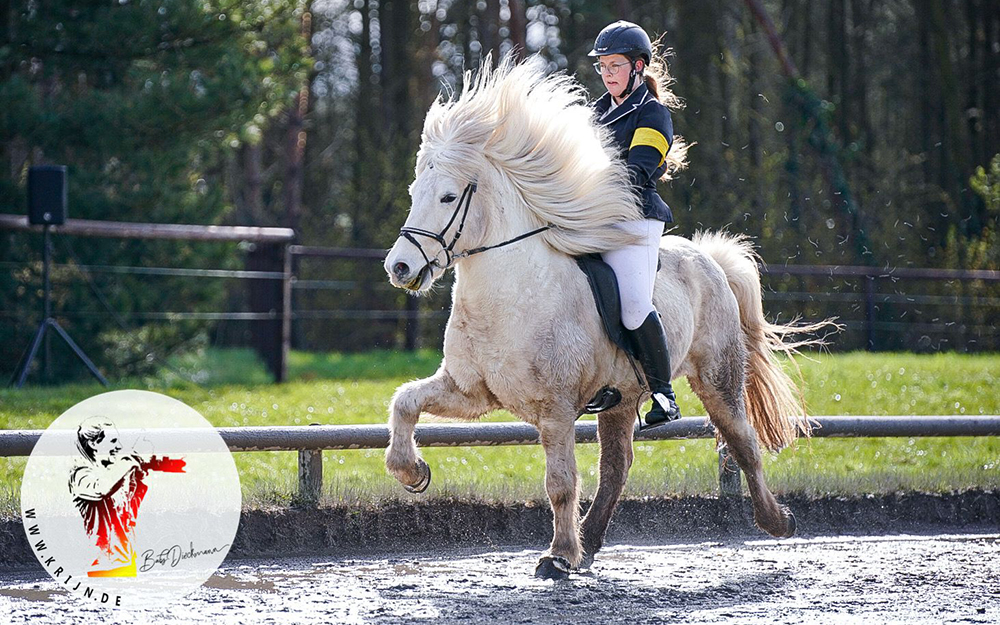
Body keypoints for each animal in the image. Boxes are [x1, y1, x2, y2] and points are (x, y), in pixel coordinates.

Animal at [380, 56, 828, 576]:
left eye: (449, 198)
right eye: (416, 192)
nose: (399, 267)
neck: (512, 294)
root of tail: (709, 258)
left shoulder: (553, 409)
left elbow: (560, 483)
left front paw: (558, 555)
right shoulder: (470, 392)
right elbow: (405, 402)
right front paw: (412, 471)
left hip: (717, 378)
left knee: (743, 442)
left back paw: (777, 521)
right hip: (620, 399)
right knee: (618, 467)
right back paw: (591, 542)